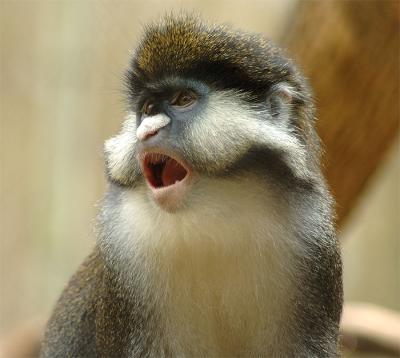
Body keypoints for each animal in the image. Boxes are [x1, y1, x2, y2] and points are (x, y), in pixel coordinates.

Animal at [40, 15, 344, 356]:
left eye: (183, 100)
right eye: (147, 110)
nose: (145, 132)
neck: (211, 219)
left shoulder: (312, 242)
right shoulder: (123, 248)